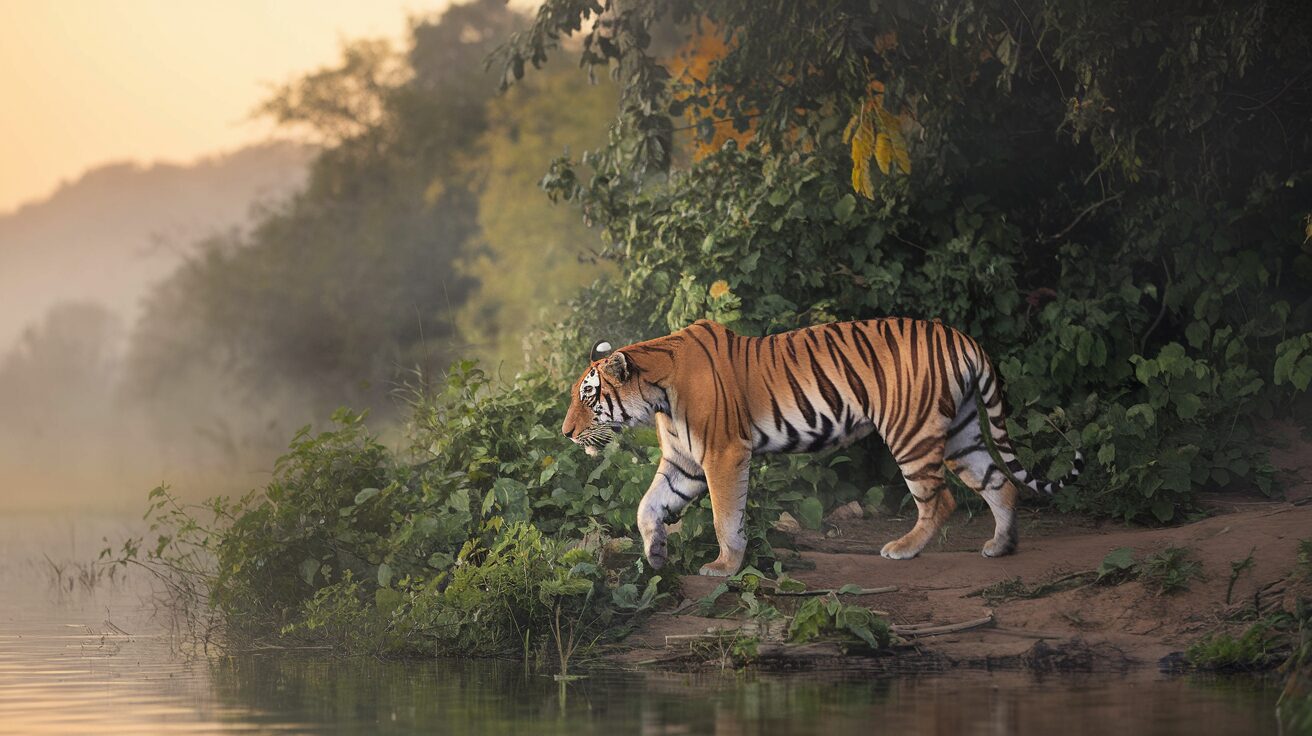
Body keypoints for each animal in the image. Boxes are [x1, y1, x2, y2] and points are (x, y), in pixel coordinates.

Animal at [560, 318, 1082, 577]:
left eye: (588, 397)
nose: (565, 432)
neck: (658, 396)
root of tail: (964, 338)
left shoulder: (721, 455)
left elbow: (725, 517)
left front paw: (724, 567)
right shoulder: (684, 462)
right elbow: (648, 506)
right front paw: (655, 555)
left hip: (911, 431)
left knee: (942, 499)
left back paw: (902, 549)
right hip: (963, 432)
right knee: (999, 483)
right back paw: (1001, 546)